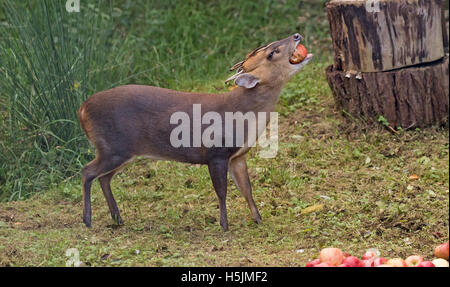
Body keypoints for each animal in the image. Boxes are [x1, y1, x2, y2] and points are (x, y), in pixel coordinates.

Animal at [78, 33, 312, 232]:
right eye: (272, 53)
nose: (297, 35)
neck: (242, 113)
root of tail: (81, 110)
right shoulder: (215, 153)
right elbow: (222, 191)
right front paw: (225, 226)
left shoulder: (238, 155)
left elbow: (247, 188)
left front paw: (258, 219)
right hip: (113, 147)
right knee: (87, 171)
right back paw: (88, 220)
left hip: (122, 152)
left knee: (103, 178)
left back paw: (117, 218)